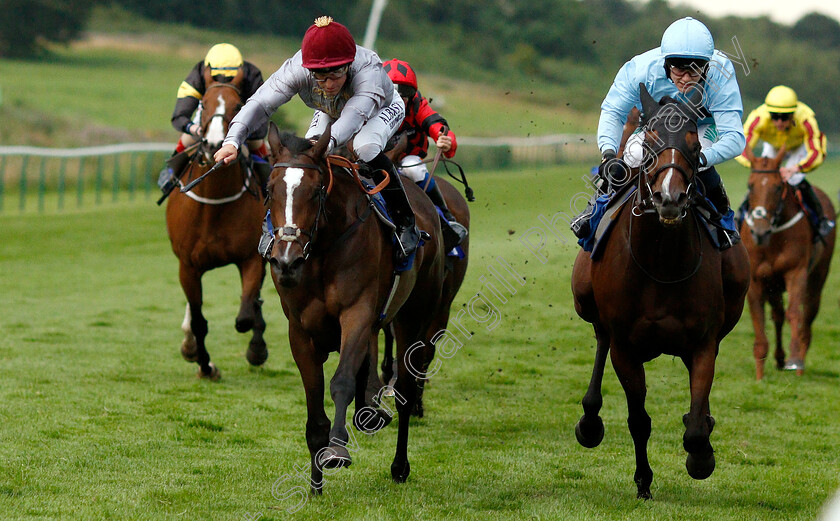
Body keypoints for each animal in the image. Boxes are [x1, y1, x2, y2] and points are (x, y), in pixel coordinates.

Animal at [166, 69, 268, 378]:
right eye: (204, 104)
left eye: (238, 105)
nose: (213, 144)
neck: (215, 204)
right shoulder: (188, 266)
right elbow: (199, 321)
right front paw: (204, 363)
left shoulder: (251, 258)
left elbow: (246, 314)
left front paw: (256, 349)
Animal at [262, 123, 446, 492]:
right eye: (270, 190)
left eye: (315, 191)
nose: (286, 261)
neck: (321, 249)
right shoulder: (299, 330)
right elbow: (314, 402)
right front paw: (315, 485)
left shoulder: (356, 314)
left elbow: (342, 381)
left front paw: (336, 450)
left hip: (414, 316)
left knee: (405, 389)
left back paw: (399, 466)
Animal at [572, 86, 748, 500]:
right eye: (650, 143)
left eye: (694, 144)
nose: (670, 198)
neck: (661, 264)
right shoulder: (625, 347)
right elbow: (639, 419)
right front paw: (643, 483)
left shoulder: (702, 342)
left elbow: (696, 425)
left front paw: (701, 457)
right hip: (585, 300)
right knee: (600, 338)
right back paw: (589, 421)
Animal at [740, 150, 832, 378]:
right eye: (750, 186)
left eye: (778, 187)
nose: (760, 232)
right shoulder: (757, 279)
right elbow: (759, 315)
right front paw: (760, 374)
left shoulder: (796, 272)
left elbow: (795, 313)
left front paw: (796, 360)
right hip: (773, 284)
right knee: (778, 315)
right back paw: (780, 357)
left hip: (817, 278)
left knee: (807, 315)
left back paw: (797, 358)